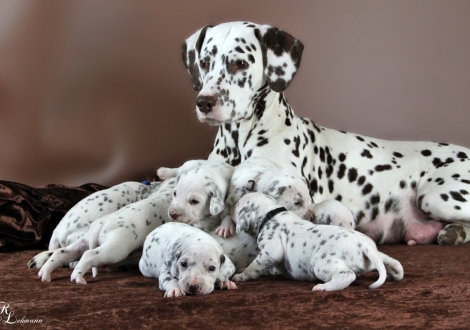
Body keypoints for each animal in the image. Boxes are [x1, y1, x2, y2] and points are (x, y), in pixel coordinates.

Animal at [34, 178, 174, 284]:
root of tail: (101, 224)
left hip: (82, 243)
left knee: (61, 253)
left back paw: (45, 273)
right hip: (115, 248)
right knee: (89, 255)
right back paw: (78, 277)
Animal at [231, 193, 404, 292]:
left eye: (237, 205)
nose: (229, 209)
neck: (270, 213)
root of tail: (365, 246)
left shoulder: (271, 252)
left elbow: (254, 266)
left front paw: (240, 276)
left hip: (322, 264)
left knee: (347, 275)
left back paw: (323, 287)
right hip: (377, 255)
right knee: (391, 262)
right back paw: (394, 271)